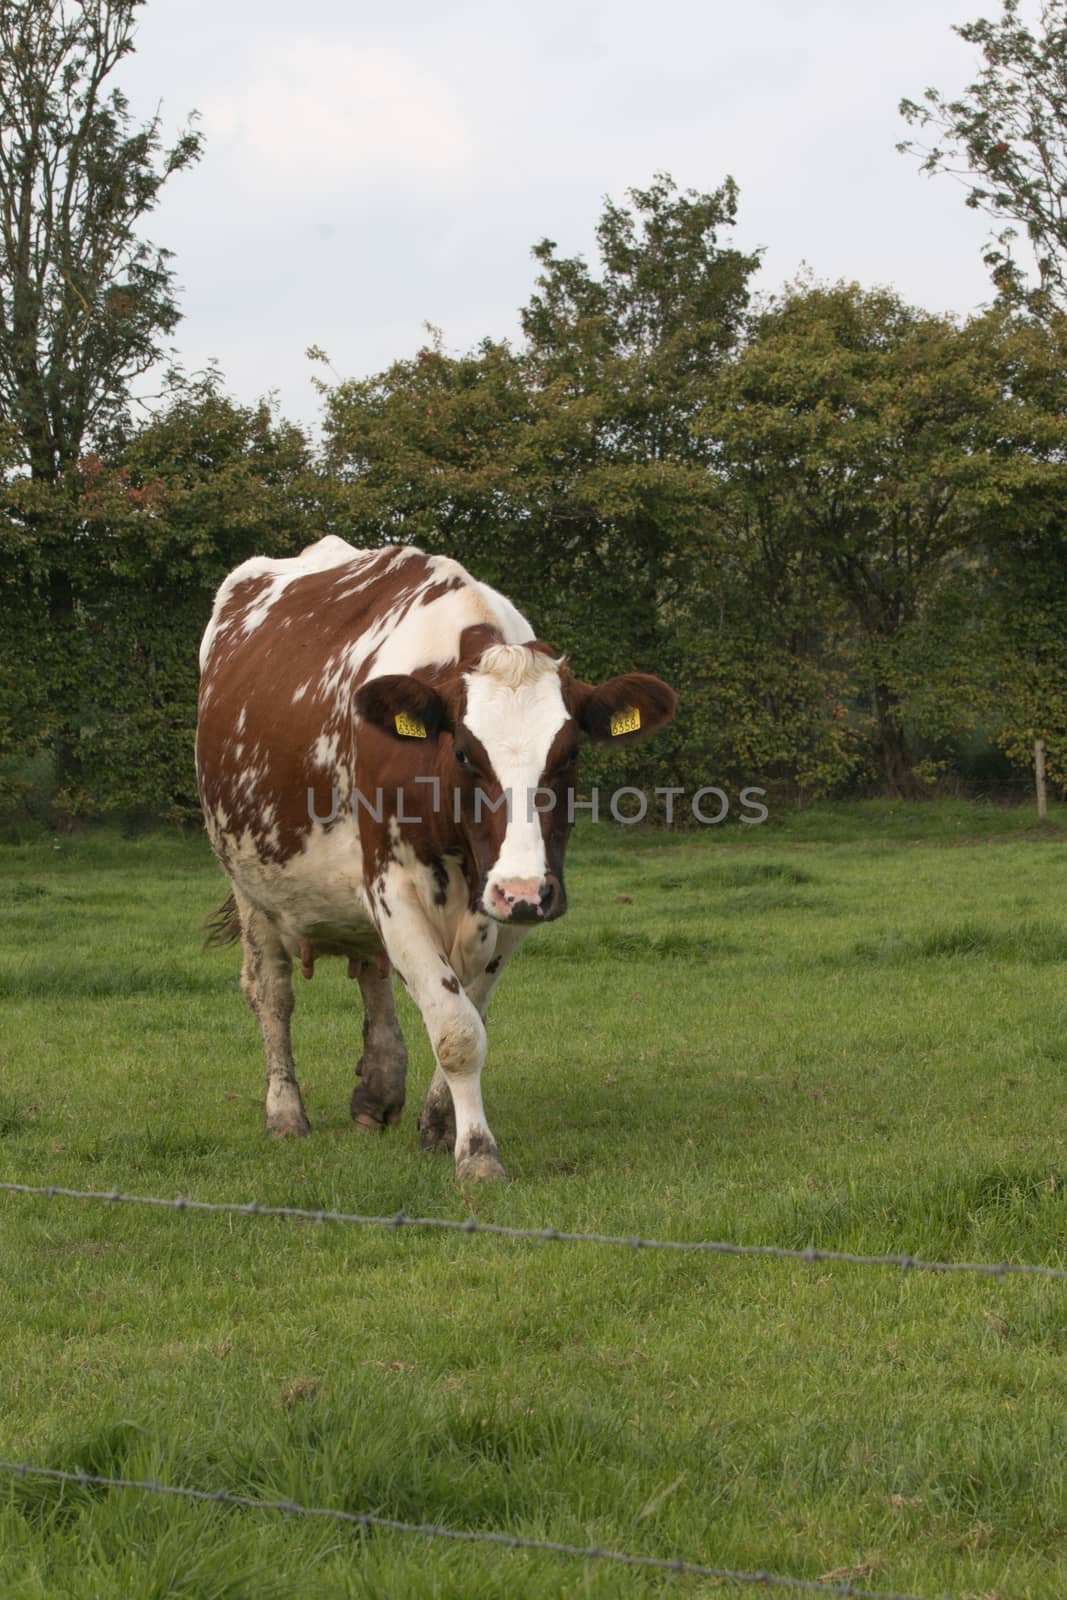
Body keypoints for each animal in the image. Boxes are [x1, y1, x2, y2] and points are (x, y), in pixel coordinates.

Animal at [195, 544, 675, 1184]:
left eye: (570, 752)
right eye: (466, 754)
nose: (523, 891)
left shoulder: (512, 910)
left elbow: (471, 1010)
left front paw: (439, 1125)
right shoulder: (393, 887)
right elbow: (456, 1029)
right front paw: (476, 1153)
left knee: (372, 975)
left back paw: (377, 1091)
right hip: (248, 881)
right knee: (271, 993)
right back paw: (286, 1114)